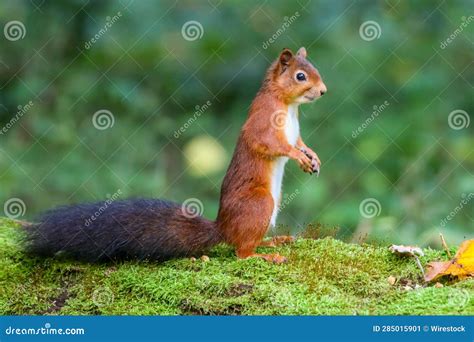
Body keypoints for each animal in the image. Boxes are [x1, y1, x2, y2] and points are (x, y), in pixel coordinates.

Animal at [25, 46, 326, 264]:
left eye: (315, 69)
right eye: (300, 76)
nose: (323, 91)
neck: (289, 106)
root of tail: (222, 227)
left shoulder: (294, 131)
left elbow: (300, 141)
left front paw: (312, 156)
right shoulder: (263, 121)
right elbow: (268, 143)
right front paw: (297, 156)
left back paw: (273, 241)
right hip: (259, 203)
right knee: (240, 252)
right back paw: (266, 255)